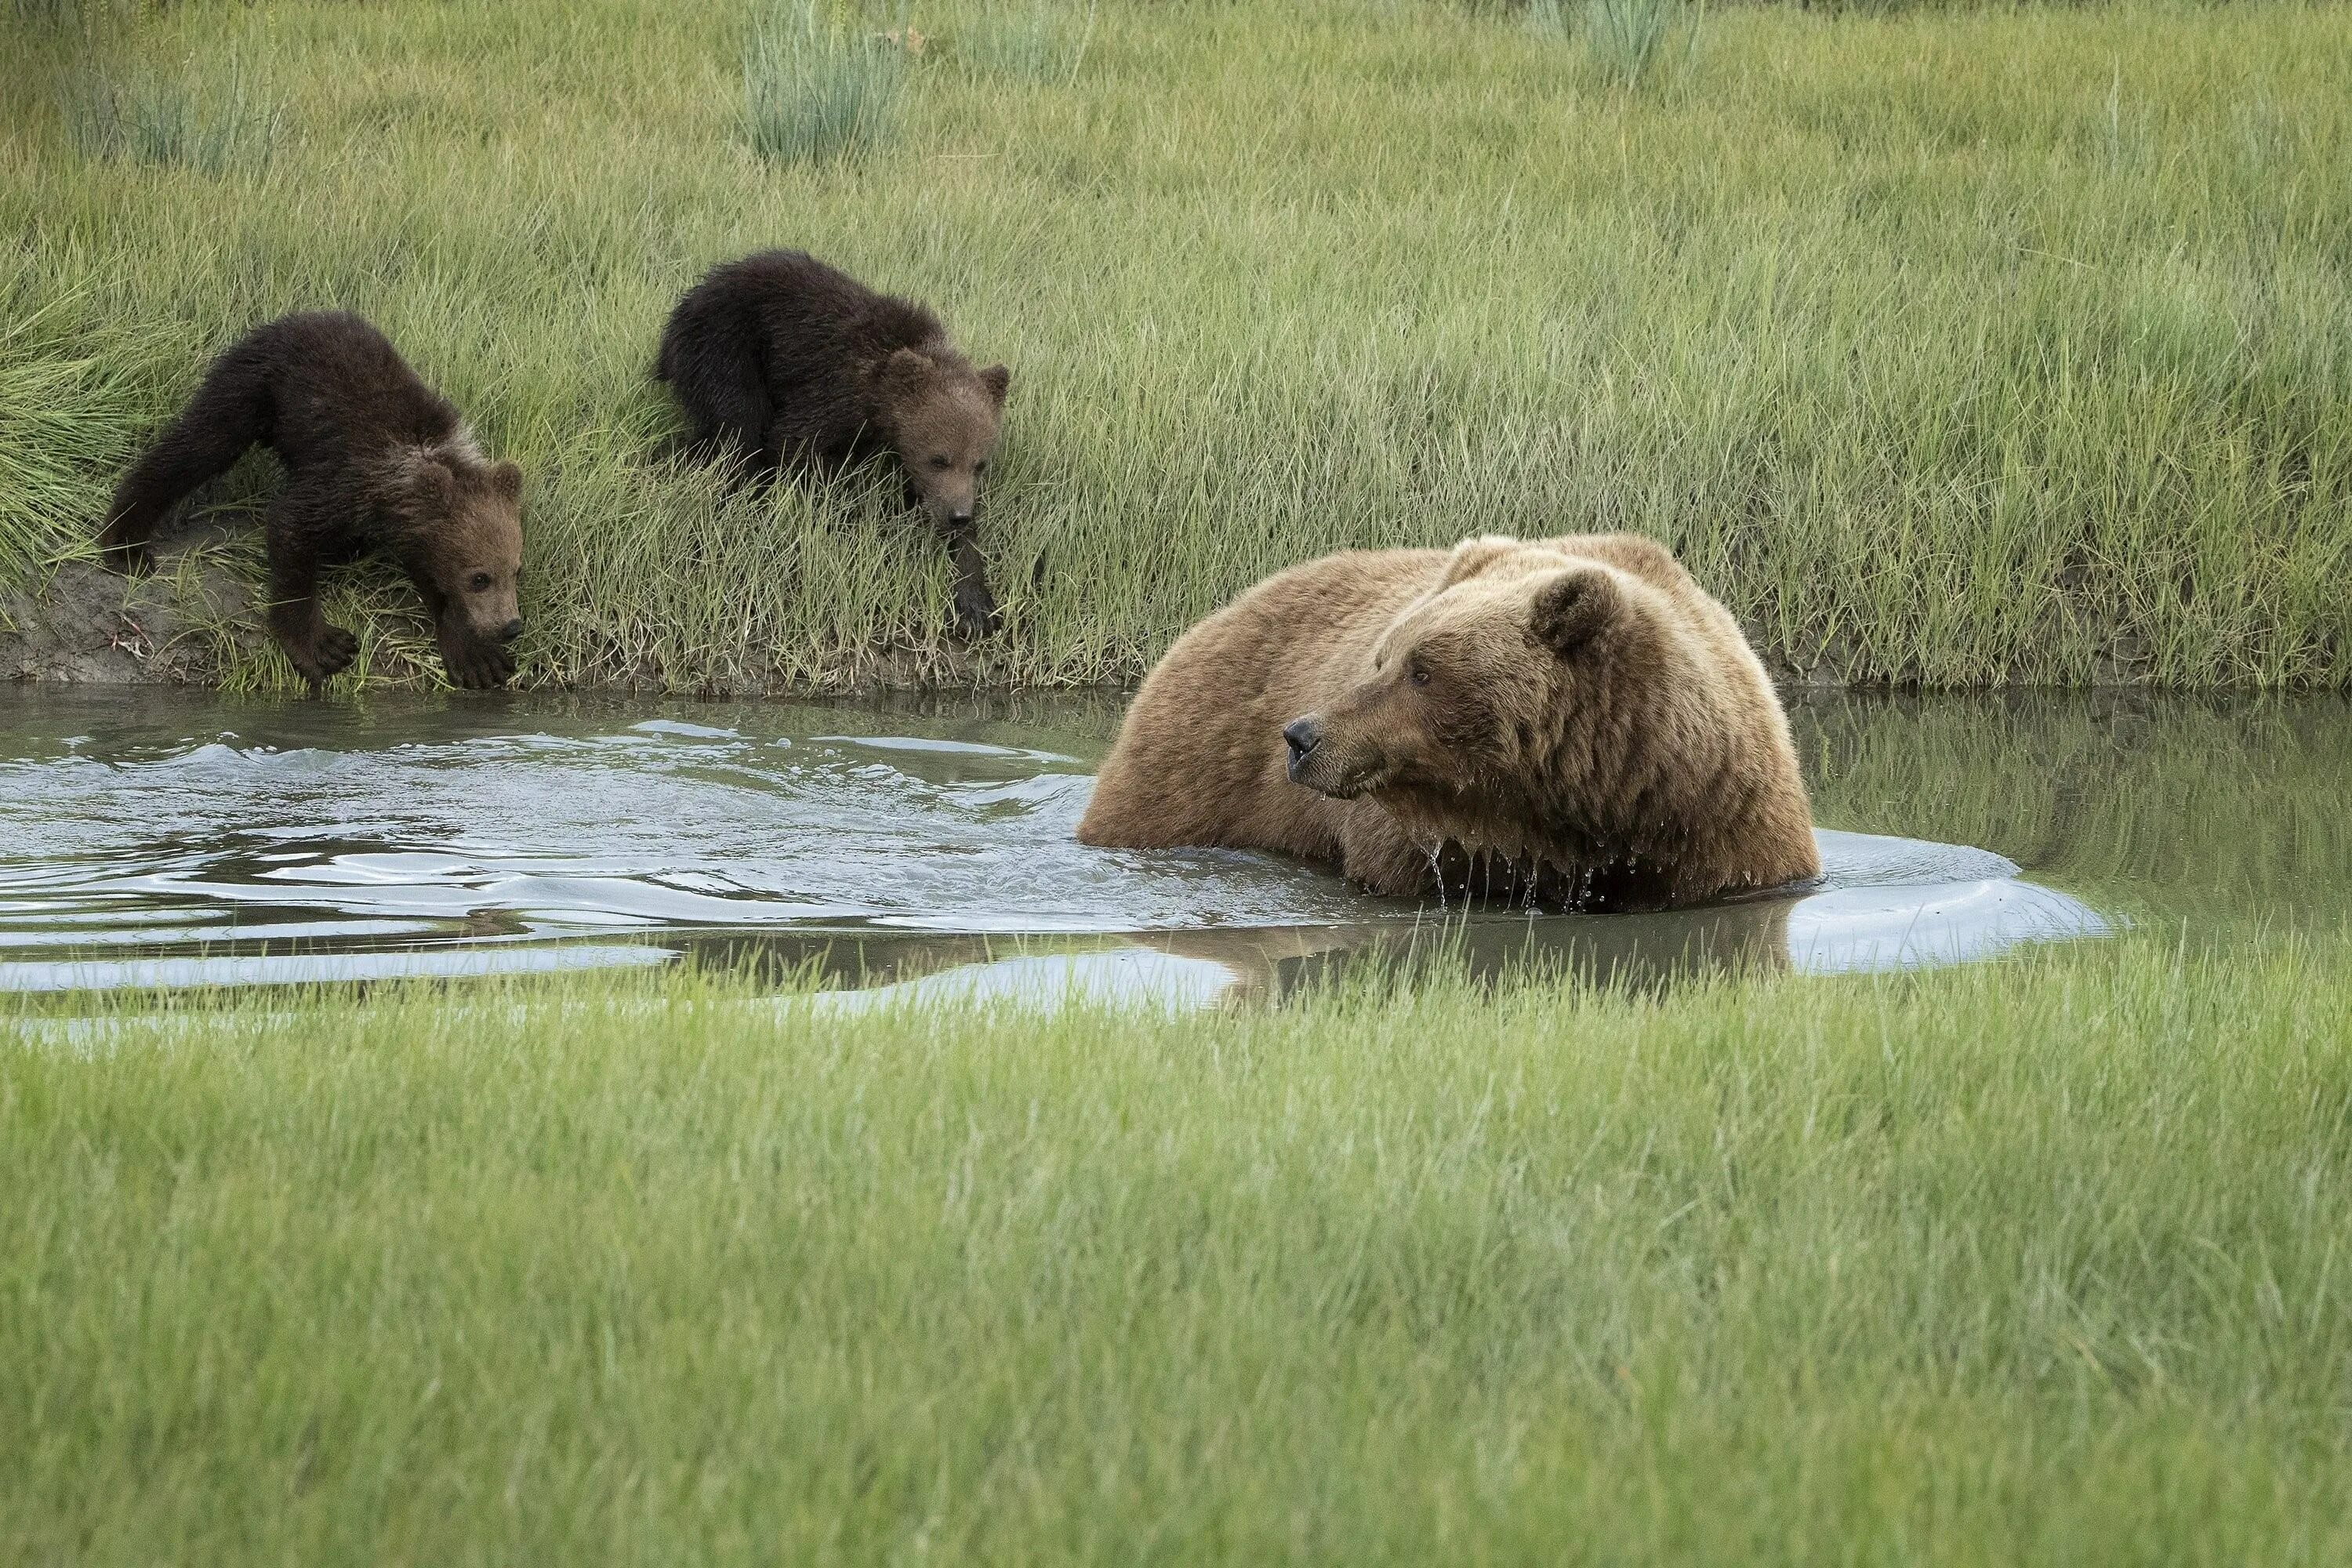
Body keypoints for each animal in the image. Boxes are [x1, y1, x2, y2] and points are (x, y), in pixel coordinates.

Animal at [102, 312, 524, 686]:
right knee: (198, 444)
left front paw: (478, 656)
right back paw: (126, 541)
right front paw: (324, 646)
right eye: (479, 578)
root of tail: (294, 318)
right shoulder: (347, 482)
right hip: (256, 387)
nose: (512, 627)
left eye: (515, 571)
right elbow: (292, 527)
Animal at [1077, 535, 1825, 912]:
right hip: (1189, 768)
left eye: (1421, 670)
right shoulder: (1419, 845)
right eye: (1384, 656)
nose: (1301, 736)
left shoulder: (1722, 828)